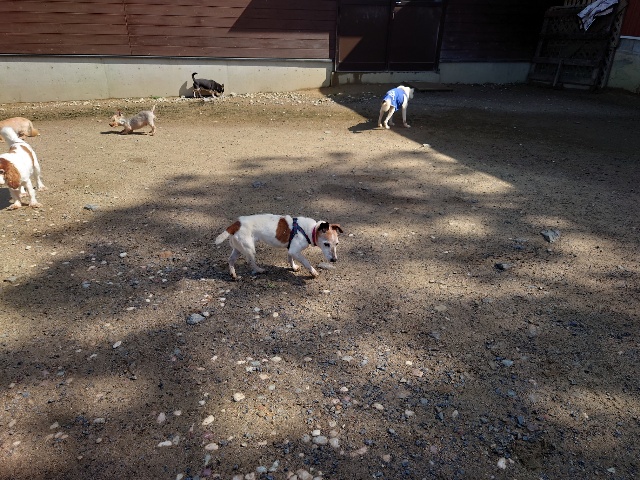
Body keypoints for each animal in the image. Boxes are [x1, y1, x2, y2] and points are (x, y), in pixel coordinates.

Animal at [215, 214, 343, 279]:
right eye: (326, 244)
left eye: (336, 244)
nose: (334, 260)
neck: (310, 230)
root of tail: (235, 224)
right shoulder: (295, 251)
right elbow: (306, 262)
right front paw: (313, 272)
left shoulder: (291, 250)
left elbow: (290, 259)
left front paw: (294, 267)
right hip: (249, 249)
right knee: (250, 261)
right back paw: (259, 270)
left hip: (238, 248)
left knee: (231, 260)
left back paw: (233, 274)